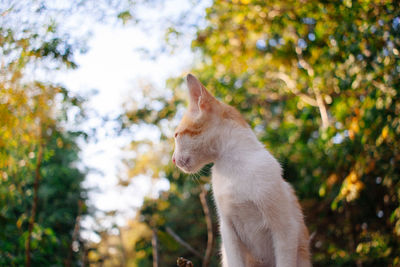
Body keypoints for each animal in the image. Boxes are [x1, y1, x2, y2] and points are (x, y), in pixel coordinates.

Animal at [173, 74, 310, 267]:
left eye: (176, 136)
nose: (173, 159)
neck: (232, 168)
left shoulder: (285, 228)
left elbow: (284, 260)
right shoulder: (228, 231)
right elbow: (235, 260)